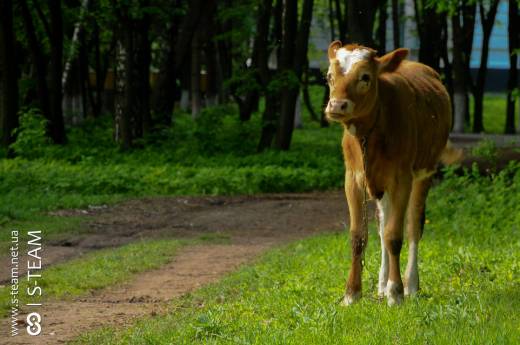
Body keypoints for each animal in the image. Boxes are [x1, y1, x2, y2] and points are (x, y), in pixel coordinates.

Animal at [324, 41, 460, 306]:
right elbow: (359, 236)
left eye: (365, 77)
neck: (369, 135)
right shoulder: (352, 179)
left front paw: (396, 293)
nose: (336, 105)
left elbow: (395, 236)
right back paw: (381, 284)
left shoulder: (402, 178)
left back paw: (410, 284)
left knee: (413, 226)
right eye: (329, 76)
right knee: (382, 224)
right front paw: (352, 294)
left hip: (424, 173)